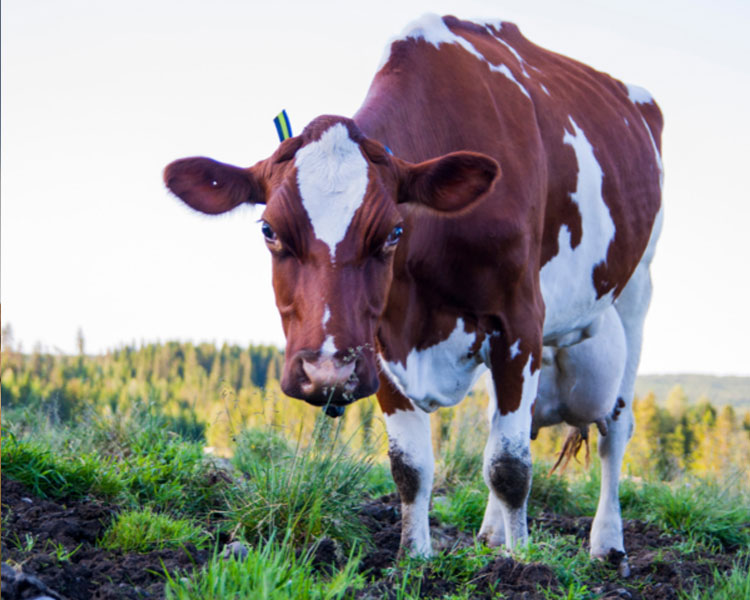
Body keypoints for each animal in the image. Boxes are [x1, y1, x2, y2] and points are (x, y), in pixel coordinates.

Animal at [164, 15, 663, 574]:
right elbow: (411, 466)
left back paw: (607, 543)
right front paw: (415, 559)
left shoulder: (520, 320)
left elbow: (510, 466)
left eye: (393, 233)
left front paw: (522, 562)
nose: (326, 372)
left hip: (636, 287)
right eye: (269, 230)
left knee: (615, 427)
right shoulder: (379, 341)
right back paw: (490, 535)